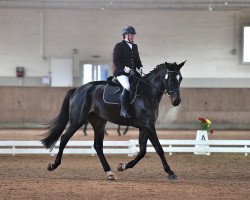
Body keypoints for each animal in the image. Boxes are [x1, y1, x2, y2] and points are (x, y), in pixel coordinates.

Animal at [41, 61, 186, 181]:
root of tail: (78, 89)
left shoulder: (144, 126)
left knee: (98, 146)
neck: (147, 93)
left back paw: (109, 172)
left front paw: (123, 166)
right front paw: (170, 172)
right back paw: (53, 165)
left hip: (99, 123)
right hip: (77, 121)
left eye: (180, 78)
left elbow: (142, 151)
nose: (176, 101)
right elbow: (158, 148)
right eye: (169, 78)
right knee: (64, 138)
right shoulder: (148, 125)